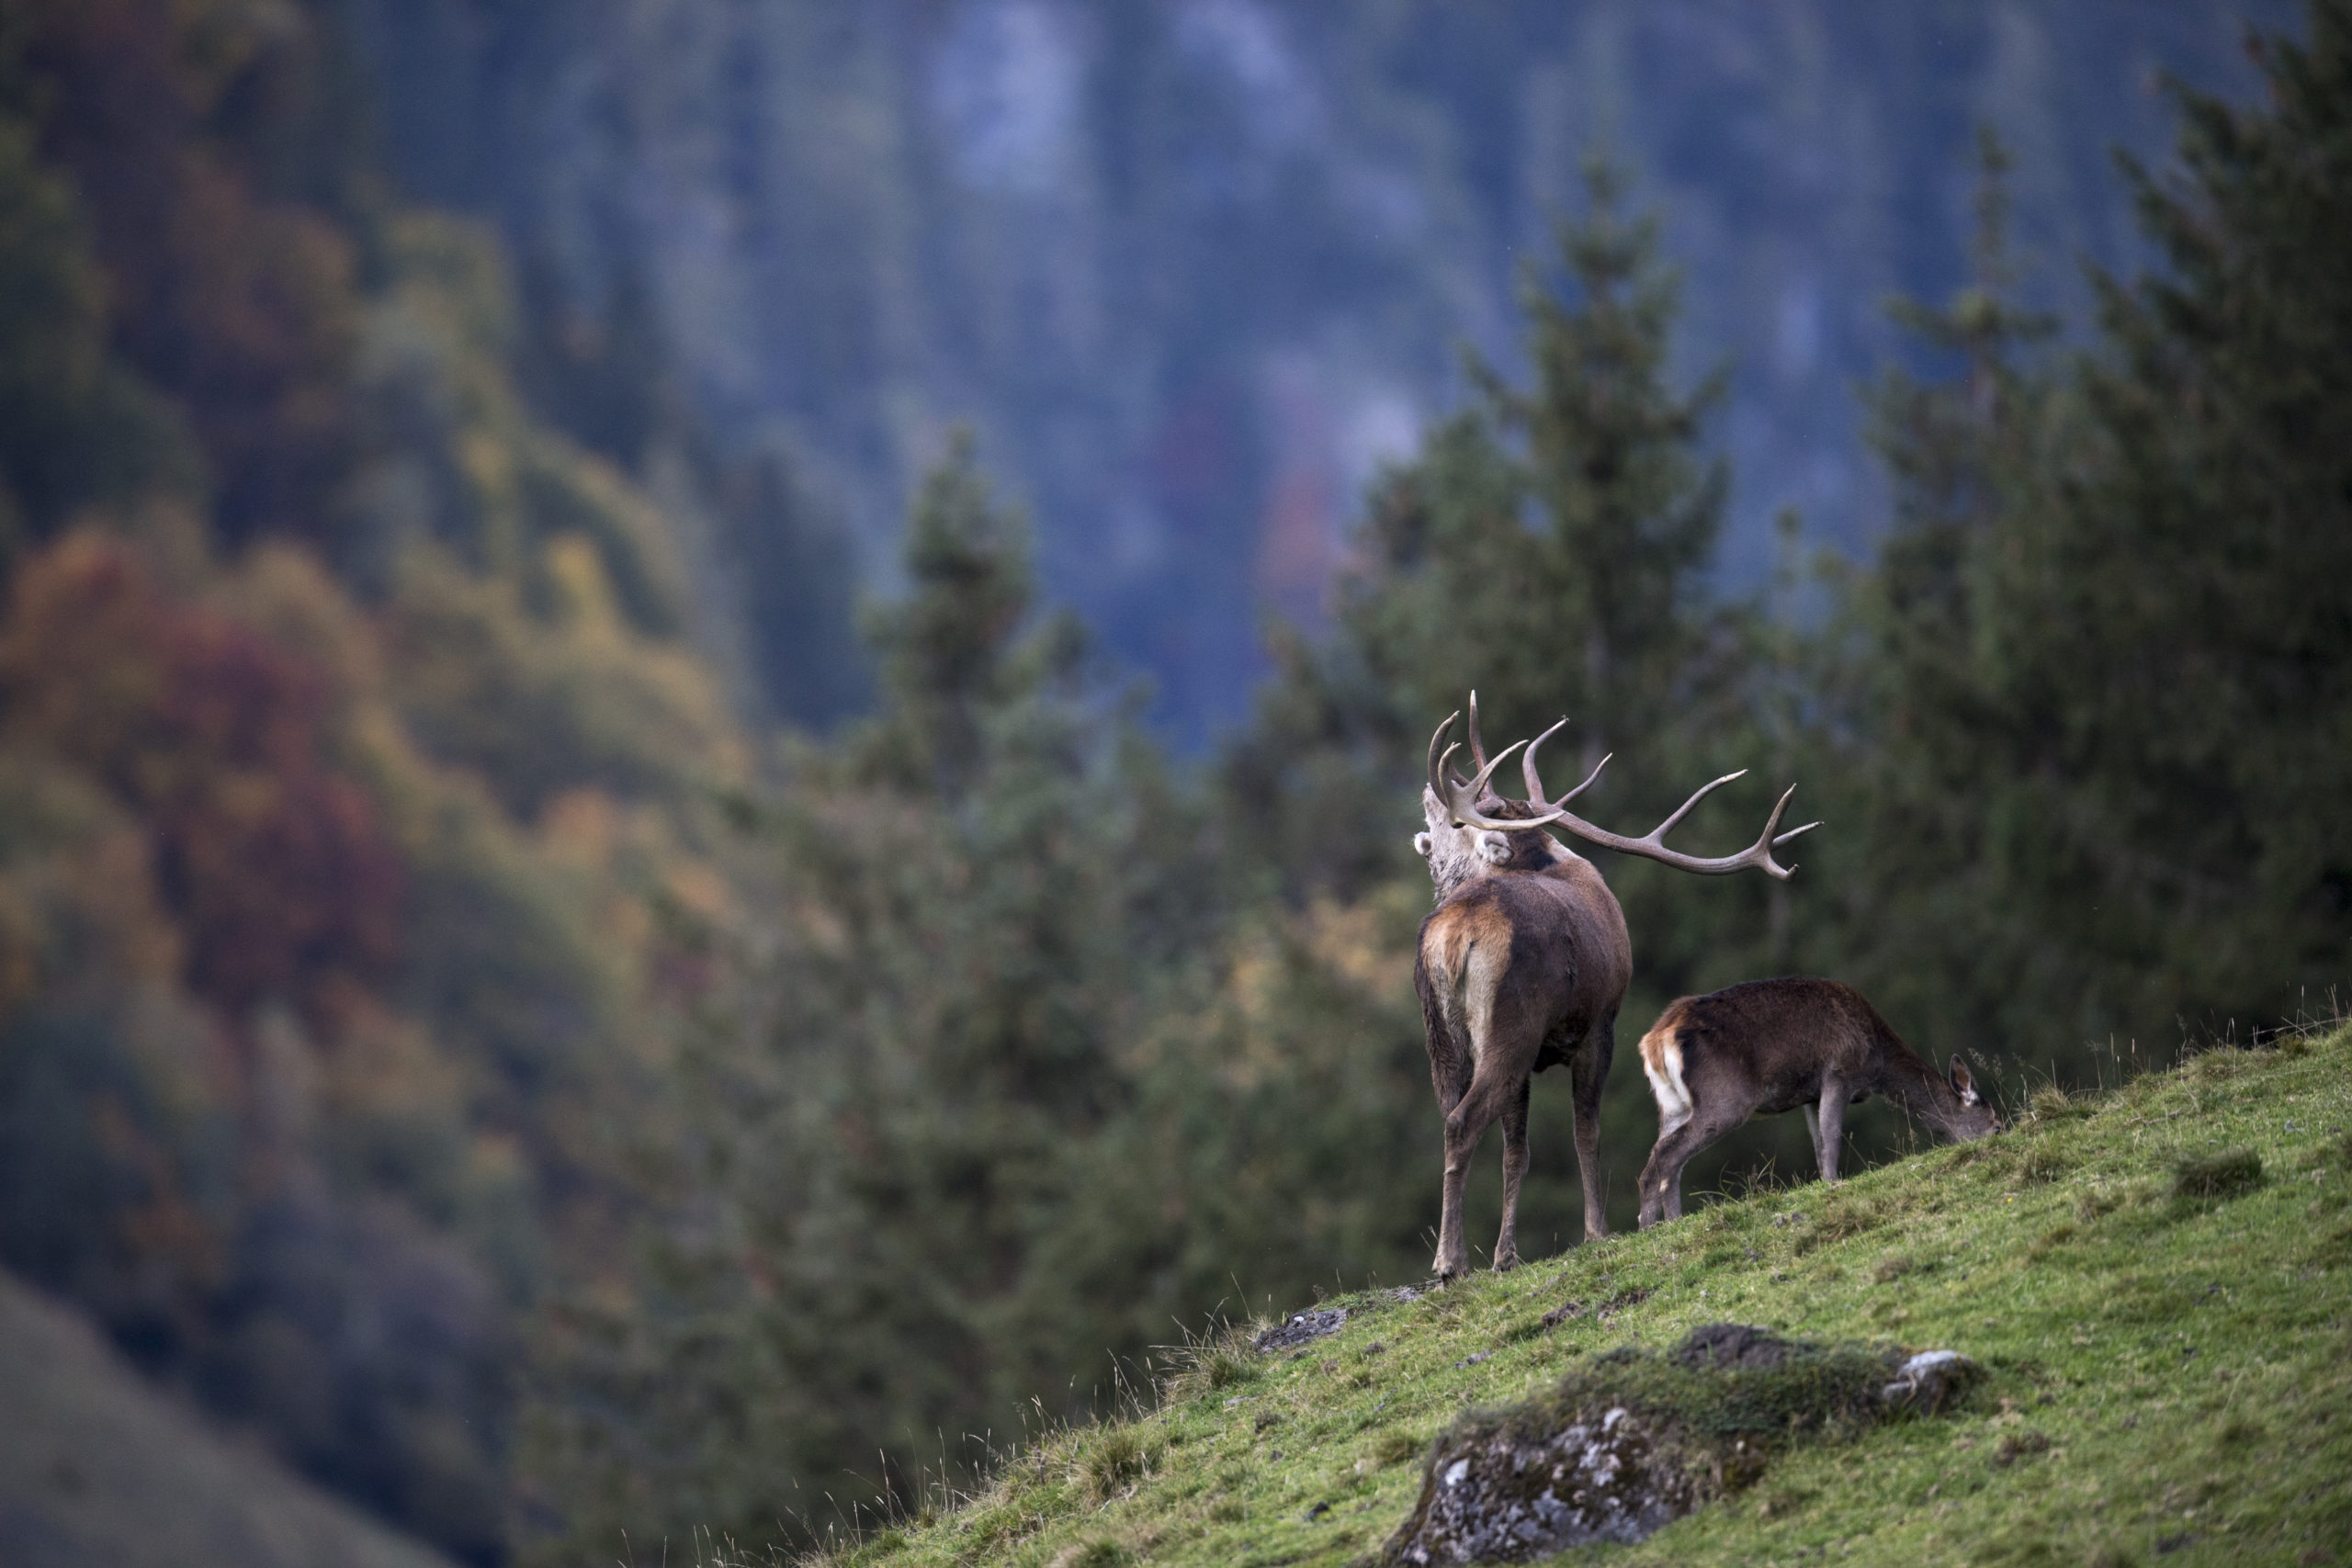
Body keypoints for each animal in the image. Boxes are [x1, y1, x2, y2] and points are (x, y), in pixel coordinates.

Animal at [1411, 695, 1815, 1279]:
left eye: (1455, 819)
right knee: (1465, 1120)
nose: (1429, 793)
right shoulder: (1600, 1025)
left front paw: (1507, 1255)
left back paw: (1452, 1256)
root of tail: (1454, 937)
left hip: (1442, 1037)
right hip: (1512, 1024)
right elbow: (1588, 1134)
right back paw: (1450, 1262)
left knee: (1449, 1118)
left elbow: (1518, 1151)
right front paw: (1598, 1232)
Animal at [1636, 973, 2004, 1232]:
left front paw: (1824, 1182)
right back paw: (1673, 1221)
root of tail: (1655, 1040)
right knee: (1668, 1152)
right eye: (1997, 1125)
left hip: (1672, 1105)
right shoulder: (1840, 1071)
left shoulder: (1810, 1095)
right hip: (1726, 1099)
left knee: (1652, 1160)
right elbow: (1832, 1138)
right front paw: (1833, 1183)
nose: (2000, 1135)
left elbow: (1818, 1142)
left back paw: (1648, 1228)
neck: (1879, 1059)